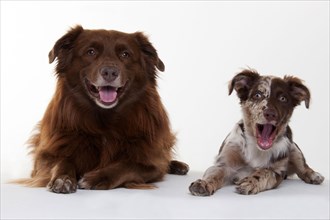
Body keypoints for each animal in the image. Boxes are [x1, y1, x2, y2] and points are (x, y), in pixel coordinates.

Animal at [20, 25, 189, 193]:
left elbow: (129, 165)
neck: (105, 119)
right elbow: (62, 161)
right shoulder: (46, 156)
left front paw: (96, 178)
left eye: (125, 54)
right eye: (91, 52)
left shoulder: (152, 162)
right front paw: (63, 179)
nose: (110, 72)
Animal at [189, 69, 324, 196]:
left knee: (302, 167)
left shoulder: (277, 172)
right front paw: (203, 183)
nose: (270, 114)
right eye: (257, 95)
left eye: (283, 98)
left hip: (294, 148)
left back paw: (314, 175)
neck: (256, 148)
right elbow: (213, 174)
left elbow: (264, 172)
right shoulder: (224, 163)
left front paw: (250, 182)